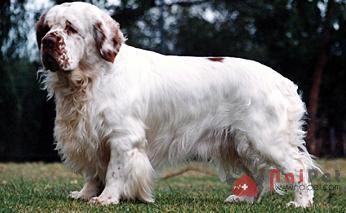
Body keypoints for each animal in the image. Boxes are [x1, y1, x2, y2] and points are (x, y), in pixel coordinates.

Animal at [36, 2, 318, 208]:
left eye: (71, 28)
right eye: (47, 27)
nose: (48, 41)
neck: (90, 79)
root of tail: (283, 82)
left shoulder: (122, 137)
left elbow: (114, 172)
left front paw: (106, 199)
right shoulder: (88, 134)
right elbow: (94, 172)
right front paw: (85, 194)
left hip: (265, 140)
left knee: (297, 167)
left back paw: (301, 203)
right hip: (241, 143)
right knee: (259, 173)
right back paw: (245, 199)